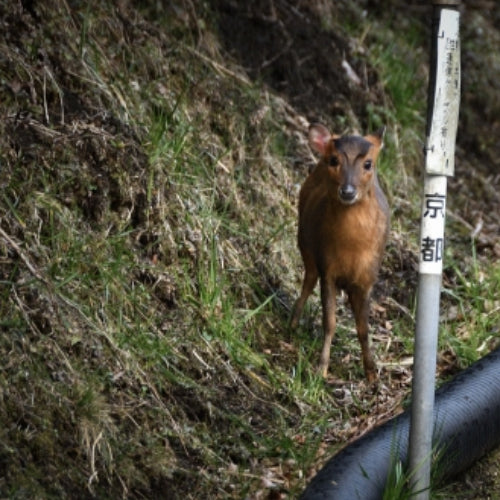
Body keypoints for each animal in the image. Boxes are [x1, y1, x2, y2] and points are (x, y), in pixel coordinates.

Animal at [290, 123, 390, 380]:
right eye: (334, 160)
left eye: (368, 163)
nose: (347, 191)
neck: (353, 247)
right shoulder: (329, 269)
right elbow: (330, 322)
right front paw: (321, 368)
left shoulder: (367, 278)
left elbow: (364, 329)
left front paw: (372, 374)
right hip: (304, 243)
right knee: (308, 280)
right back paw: (293, 322)